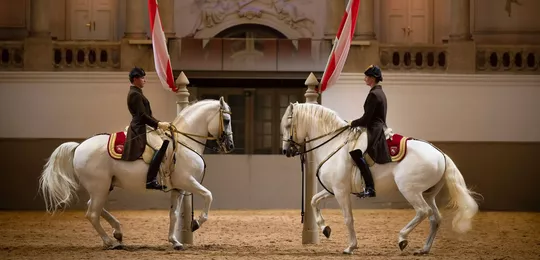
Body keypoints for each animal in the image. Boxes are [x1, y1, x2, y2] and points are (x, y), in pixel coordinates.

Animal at [38, 97, 232, 250]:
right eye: (227, 120)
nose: (230, 145)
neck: (185, 143)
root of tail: (79, 147)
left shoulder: (178, 188)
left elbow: (174, 214)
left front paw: (175, 242)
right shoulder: (187, 181)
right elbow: (208, 195)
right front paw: (196, 223)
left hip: (103, 187)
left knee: (93, 207)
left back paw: (117, 232)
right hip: (99, 187)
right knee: (92, 213)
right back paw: (110, 242)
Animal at [280, 102, 478, 256]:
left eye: (288, 125)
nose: (286, 151)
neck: (333, 144)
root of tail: (440, 154)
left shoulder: (341, 192)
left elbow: (348, 218)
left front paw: (350, 247)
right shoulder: (333, 190)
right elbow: (314, 201)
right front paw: (325, 229)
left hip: (410, 190)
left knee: (423, 212)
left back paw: (402, 239)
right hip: (428, 194)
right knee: (435, 218)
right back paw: (424, 249)